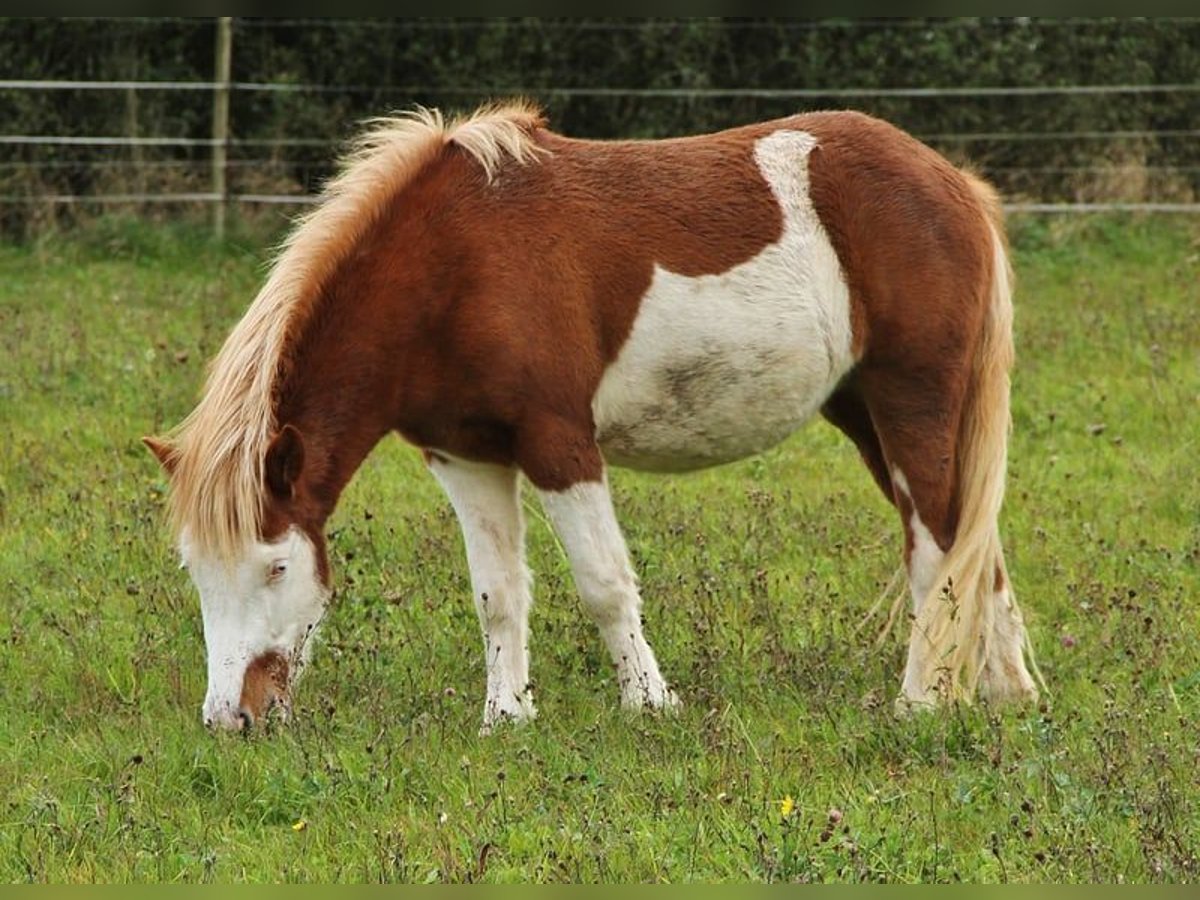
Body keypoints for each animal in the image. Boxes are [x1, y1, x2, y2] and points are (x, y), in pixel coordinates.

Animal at [144, 100, 1040, 732]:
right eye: (196, 572)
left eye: (276, 568)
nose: (233, 719)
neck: (454, 267)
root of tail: (955, 184)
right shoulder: (465, 455)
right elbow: (498, 591)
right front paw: (506, 717)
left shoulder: (558, 443)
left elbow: (604, 584)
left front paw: (650, 705)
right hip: (866, 413)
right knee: (973, 541)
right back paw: (1009, 695)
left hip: (912, 400)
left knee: (936, 545)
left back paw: (922, 703)